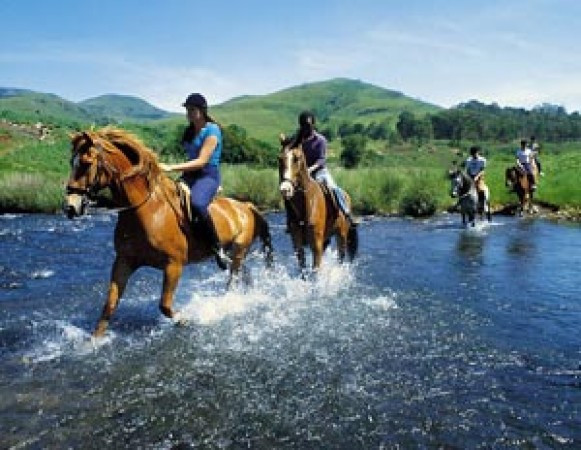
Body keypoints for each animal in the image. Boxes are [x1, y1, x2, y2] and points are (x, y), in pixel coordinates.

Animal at [64, 128, 274, 336]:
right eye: (71, 162)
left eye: (86, 163)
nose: (70, 207)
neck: (147, 210)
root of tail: (246, 206)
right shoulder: (124, 261)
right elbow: (109, 305)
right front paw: (94, 340)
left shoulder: (173, 265)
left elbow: (164, 305)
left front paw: (184, 320)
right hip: (235, 254)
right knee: (244, 276)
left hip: (239, 251)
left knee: (232, 281)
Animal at [278, 135, 358, 270]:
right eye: (279, 159)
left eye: (297, 158)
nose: (285, 189)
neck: (307, 204)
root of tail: (347, 196)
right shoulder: (297, 245)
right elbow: (302, 269)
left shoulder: (316, 245)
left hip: (341, 234)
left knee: (341, 257)